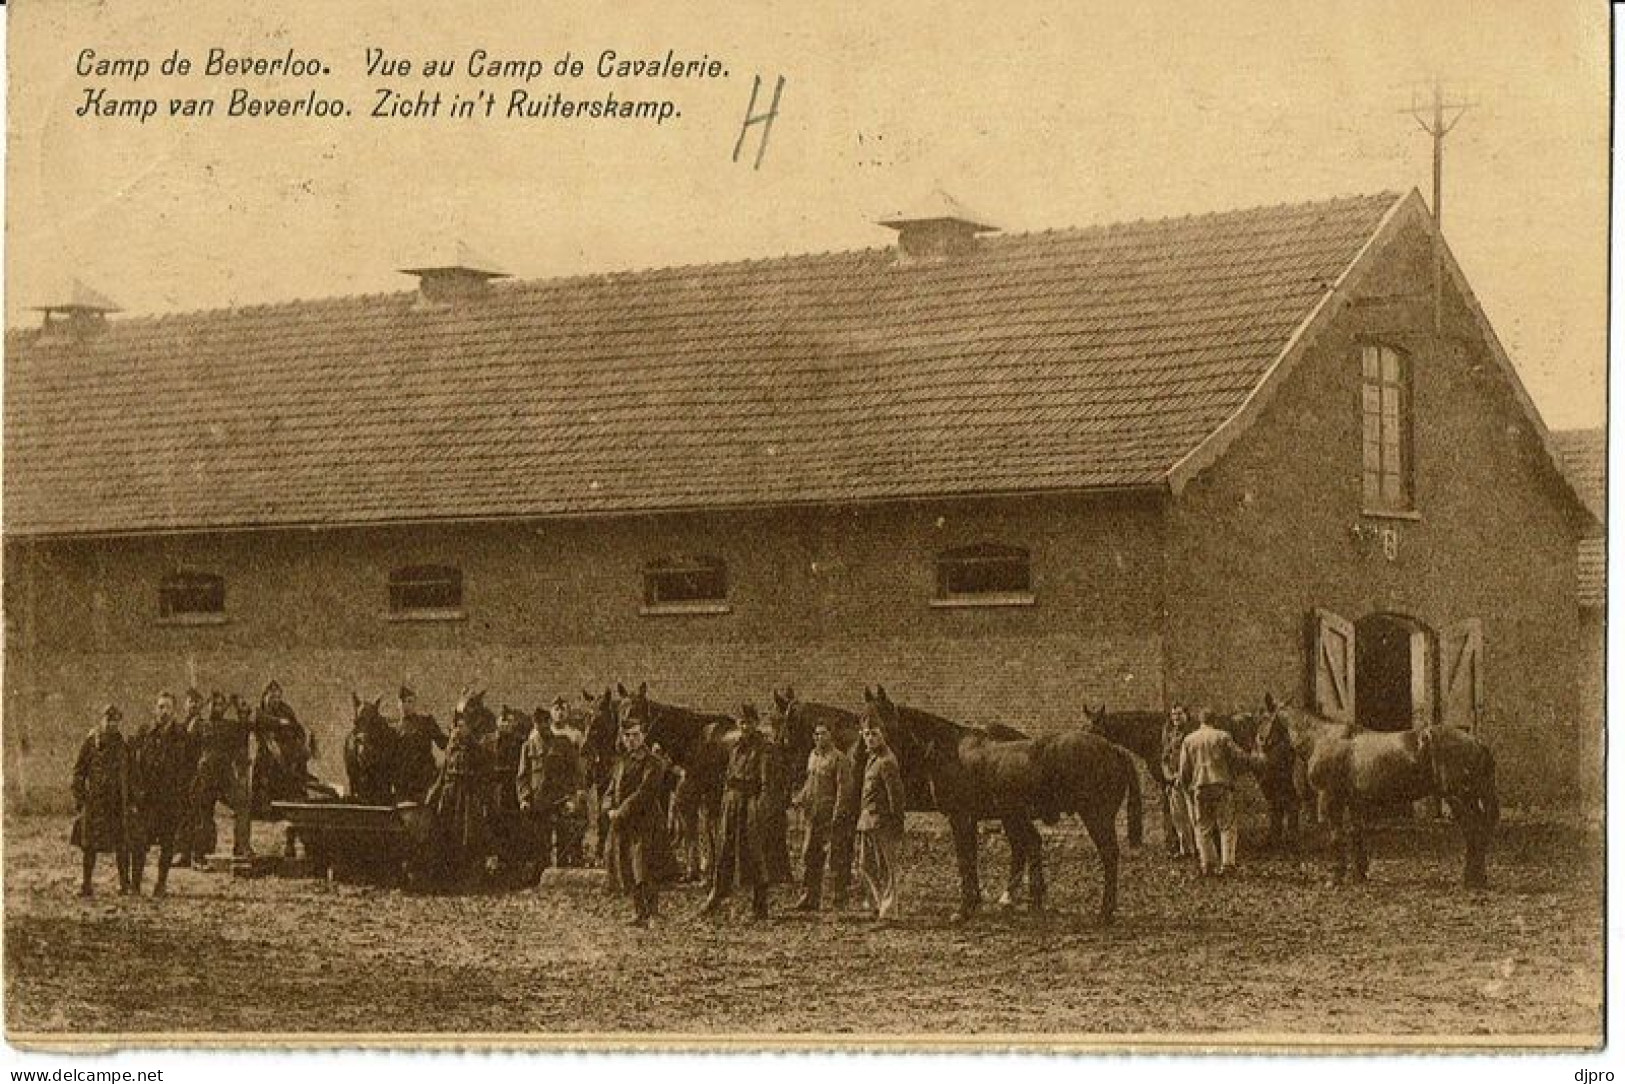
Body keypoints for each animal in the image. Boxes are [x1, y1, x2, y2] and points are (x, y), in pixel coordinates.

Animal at [1280, 705, 1495, 890]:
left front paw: (1335, 878)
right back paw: (1478, 879)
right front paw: (1359, 875)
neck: (1323, 738)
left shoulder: (1331, 797)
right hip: (1470, 799)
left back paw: (1470, 880)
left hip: (1458, 799)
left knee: (1473, 833)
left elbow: (1336, 836)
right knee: (1480, 833)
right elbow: (1356, 833)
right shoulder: (1354, 801)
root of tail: (1477, 743)